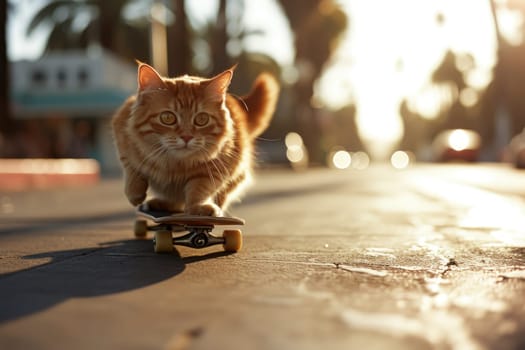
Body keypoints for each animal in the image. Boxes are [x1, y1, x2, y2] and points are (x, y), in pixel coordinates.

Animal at [111, 63, 278, 216]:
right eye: (168, 118)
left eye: (201, 119)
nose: (186, 137)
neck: (174, 165)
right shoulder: (122, 135)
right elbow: (132, 171)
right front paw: (135, 194)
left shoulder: (216, 169)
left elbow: (198, 190)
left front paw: (198, 208)